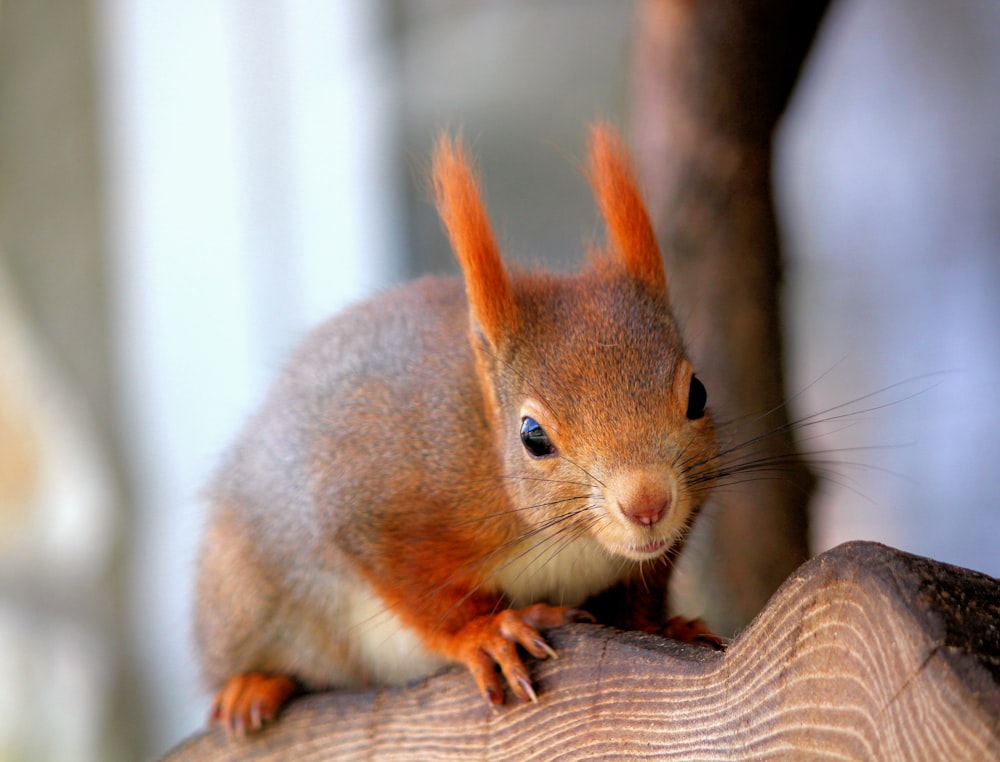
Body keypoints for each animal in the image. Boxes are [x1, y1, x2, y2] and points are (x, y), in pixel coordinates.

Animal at [195, 124, 724, 736]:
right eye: (532, 436)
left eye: (698, 394)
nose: (647, 504)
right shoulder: (377, 502)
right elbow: (421, 590)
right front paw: (486, 632)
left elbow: (642, 593)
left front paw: (664, 627)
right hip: (242, 598)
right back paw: (253, 685)